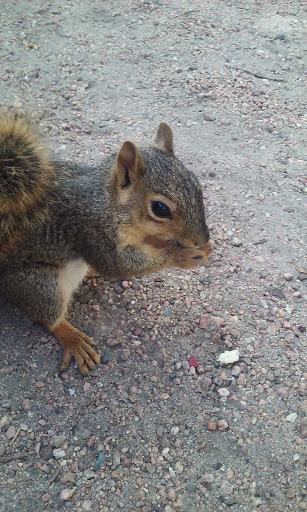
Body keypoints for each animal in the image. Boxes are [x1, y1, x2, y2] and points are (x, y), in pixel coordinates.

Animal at [0, 114, 213, 374]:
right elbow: (118, 265)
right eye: (160, 208)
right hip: (40, 284)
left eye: (197, 185)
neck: (108, 201)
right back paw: (73, 339)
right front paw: (183, 255)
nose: (203, 238)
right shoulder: (92, 230)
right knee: (49, 318)